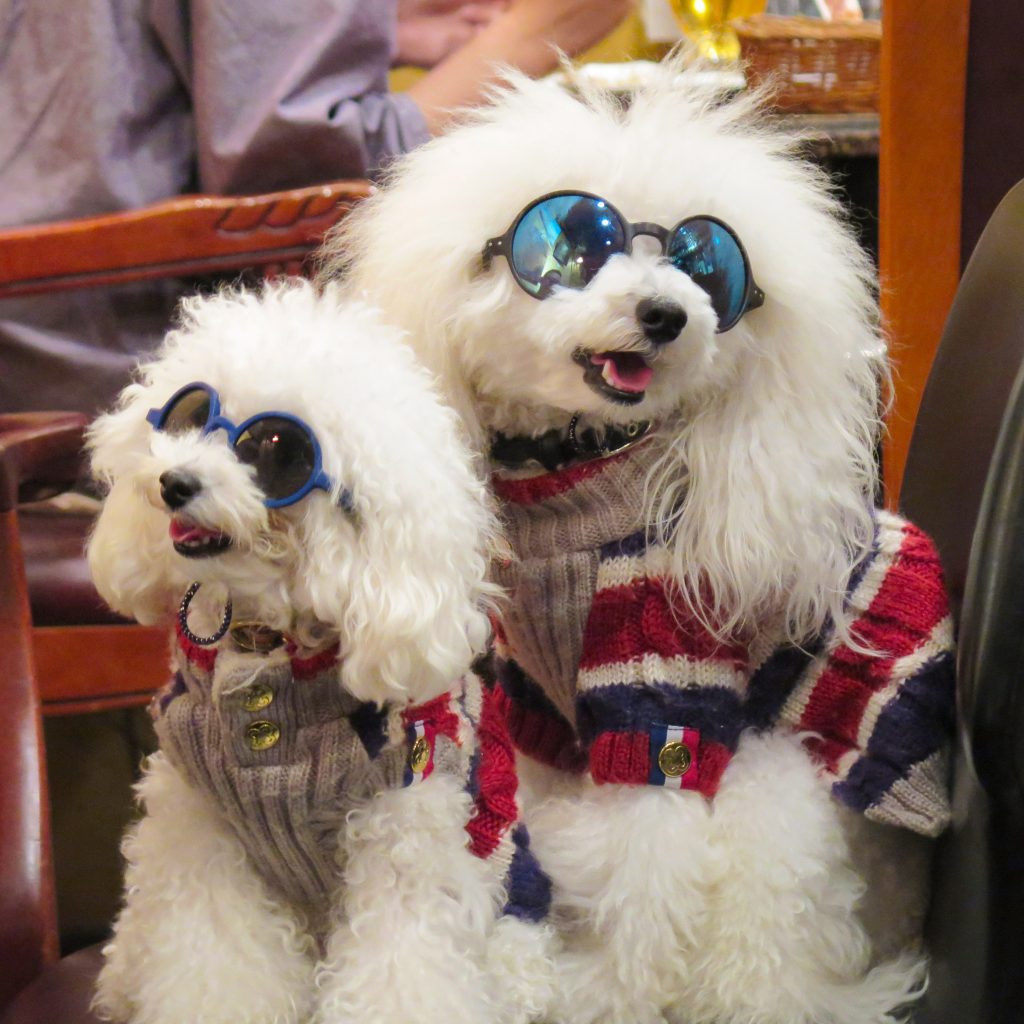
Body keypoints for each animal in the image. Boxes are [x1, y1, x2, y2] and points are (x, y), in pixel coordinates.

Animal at [86, 280, 552, 1024]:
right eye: (190, 414)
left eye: (277, 449)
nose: (173, 482)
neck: (264, 652)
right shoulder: (202, 833)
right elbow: (215, 965)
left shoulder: (403, 833)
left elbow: (403, 971)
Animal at [327, 64, 958, 1024]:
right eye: (571, 246)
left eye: (706, 264)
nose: (665, 313)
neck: (575, 477)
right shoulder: (538, 707)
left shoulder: (661, 686)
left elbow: (643, 870)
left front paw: (600, 989)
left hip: (781, 795)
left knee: (761, 956)